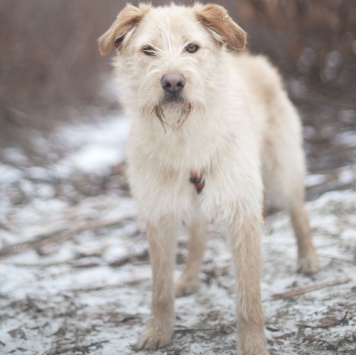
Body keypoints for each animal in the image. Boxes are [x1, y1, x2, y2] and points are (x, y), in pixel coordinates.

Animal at [98, 3, 320, 355]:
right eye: (148, 50)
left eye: (192, 47)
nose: (173, 82)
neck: (184, 138)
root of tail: (254, 61)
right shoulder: (159, 215)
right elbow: (160, 289)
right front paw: (158, 331)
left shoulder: (242, 212)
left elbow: (249, 298)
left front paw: (253, 344)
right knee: (199, 234)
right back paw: (189, 278)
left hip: (281, 169)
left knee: (298, 210)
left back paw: (308, 257)